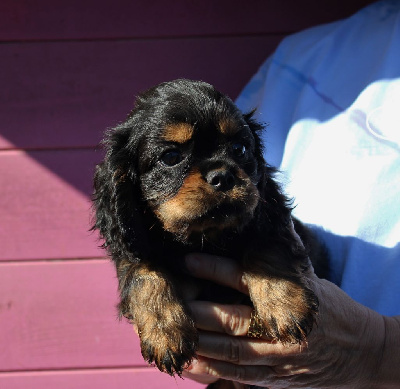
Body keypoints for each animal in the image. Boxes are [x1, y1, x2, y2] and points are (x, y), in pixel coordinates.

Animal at [92, 78, 320, 382]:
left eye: (240, 149)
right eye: (171, 156)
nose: (223, 176)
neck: (204, 239)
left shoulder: (267, 217)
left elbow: (267, 245)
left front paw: (284, 304)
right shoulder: (132, 244)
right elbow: (143, 272)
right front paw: (165, 330)